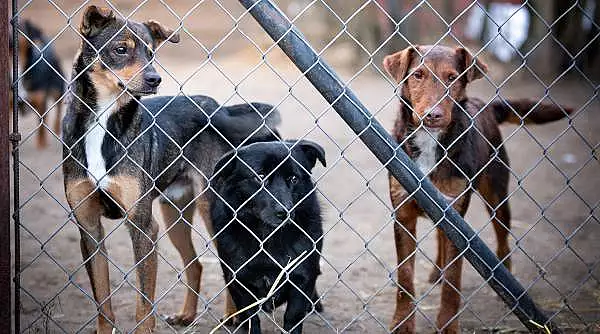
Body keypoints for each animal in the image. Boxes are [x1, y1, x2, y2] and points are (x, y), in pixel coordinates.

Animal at [62, 5, 282, 334]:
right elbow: (103, 303)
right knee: (195, 264)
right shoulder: (89, 229)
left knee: (232, 266)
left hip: (212, 211)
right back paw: (187, 315)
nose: (155, 79)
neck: (104, 121)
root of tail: (220, 108)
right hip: (174, 213)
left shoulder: (143, 226)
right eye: (121, 49)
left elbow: (143, 306)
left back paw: (233, 317)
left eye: (151, 53)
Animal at [212, 140, 328, 332]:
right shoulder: (238, 282)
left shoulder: (301, 279)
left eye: (294, 178)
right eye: (260, 176)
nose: (284, 212)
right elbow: (251, 320)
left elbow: (293, 317)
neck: (268, 238)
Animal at [382, 45, 576, 334]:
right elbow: (405, 278)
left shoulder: (455, 214)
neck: (430, 142)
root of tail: (485, 105)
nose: (433, 115)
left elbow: (454, 281)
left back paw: (504, 281)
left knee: (503, 240)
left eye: (452, 78)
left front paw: (448, 325)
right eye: (418, 75)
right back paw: (436, 271)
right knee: (441, 237)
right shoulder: (404, 213)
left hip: (497, 196)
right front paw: (403, 323)